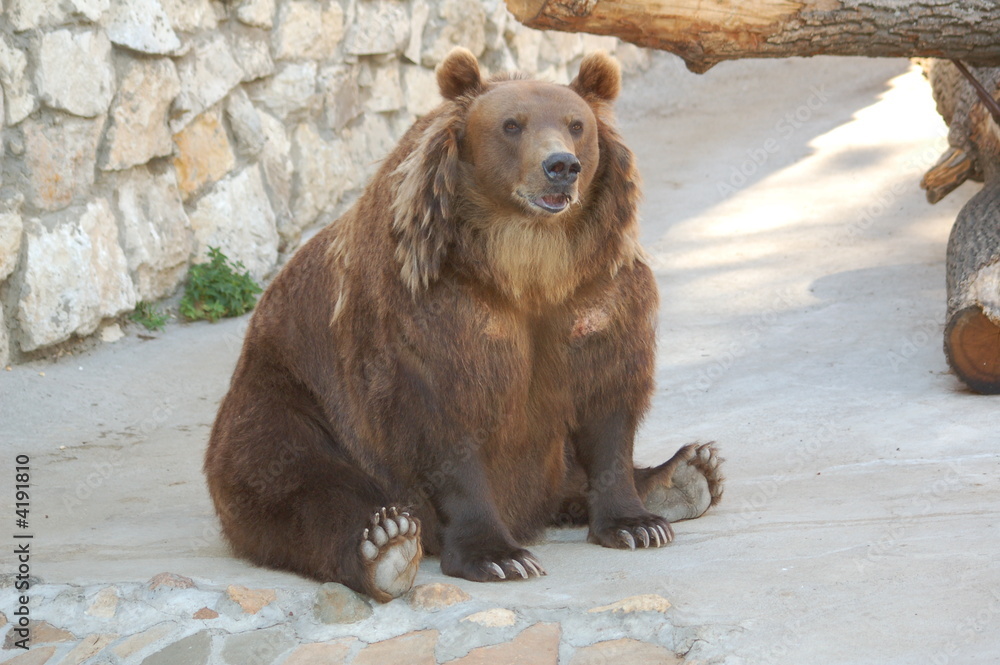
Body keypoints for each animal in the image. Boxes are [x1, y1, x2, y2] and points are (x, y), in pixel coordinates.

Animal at [204, 48, 724, 603]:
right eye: (512, 124)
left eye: (576, 124)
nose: (561, 166)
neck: (528, 267)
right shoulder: (433, 315)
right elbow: (446, 421)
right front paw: (497, 556)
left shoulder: (599, 293)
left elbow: (607, 401)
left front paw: (637, 524)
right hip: (289, 400)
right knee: (297, 481)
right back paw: (384, 545)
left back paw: (688, 473)